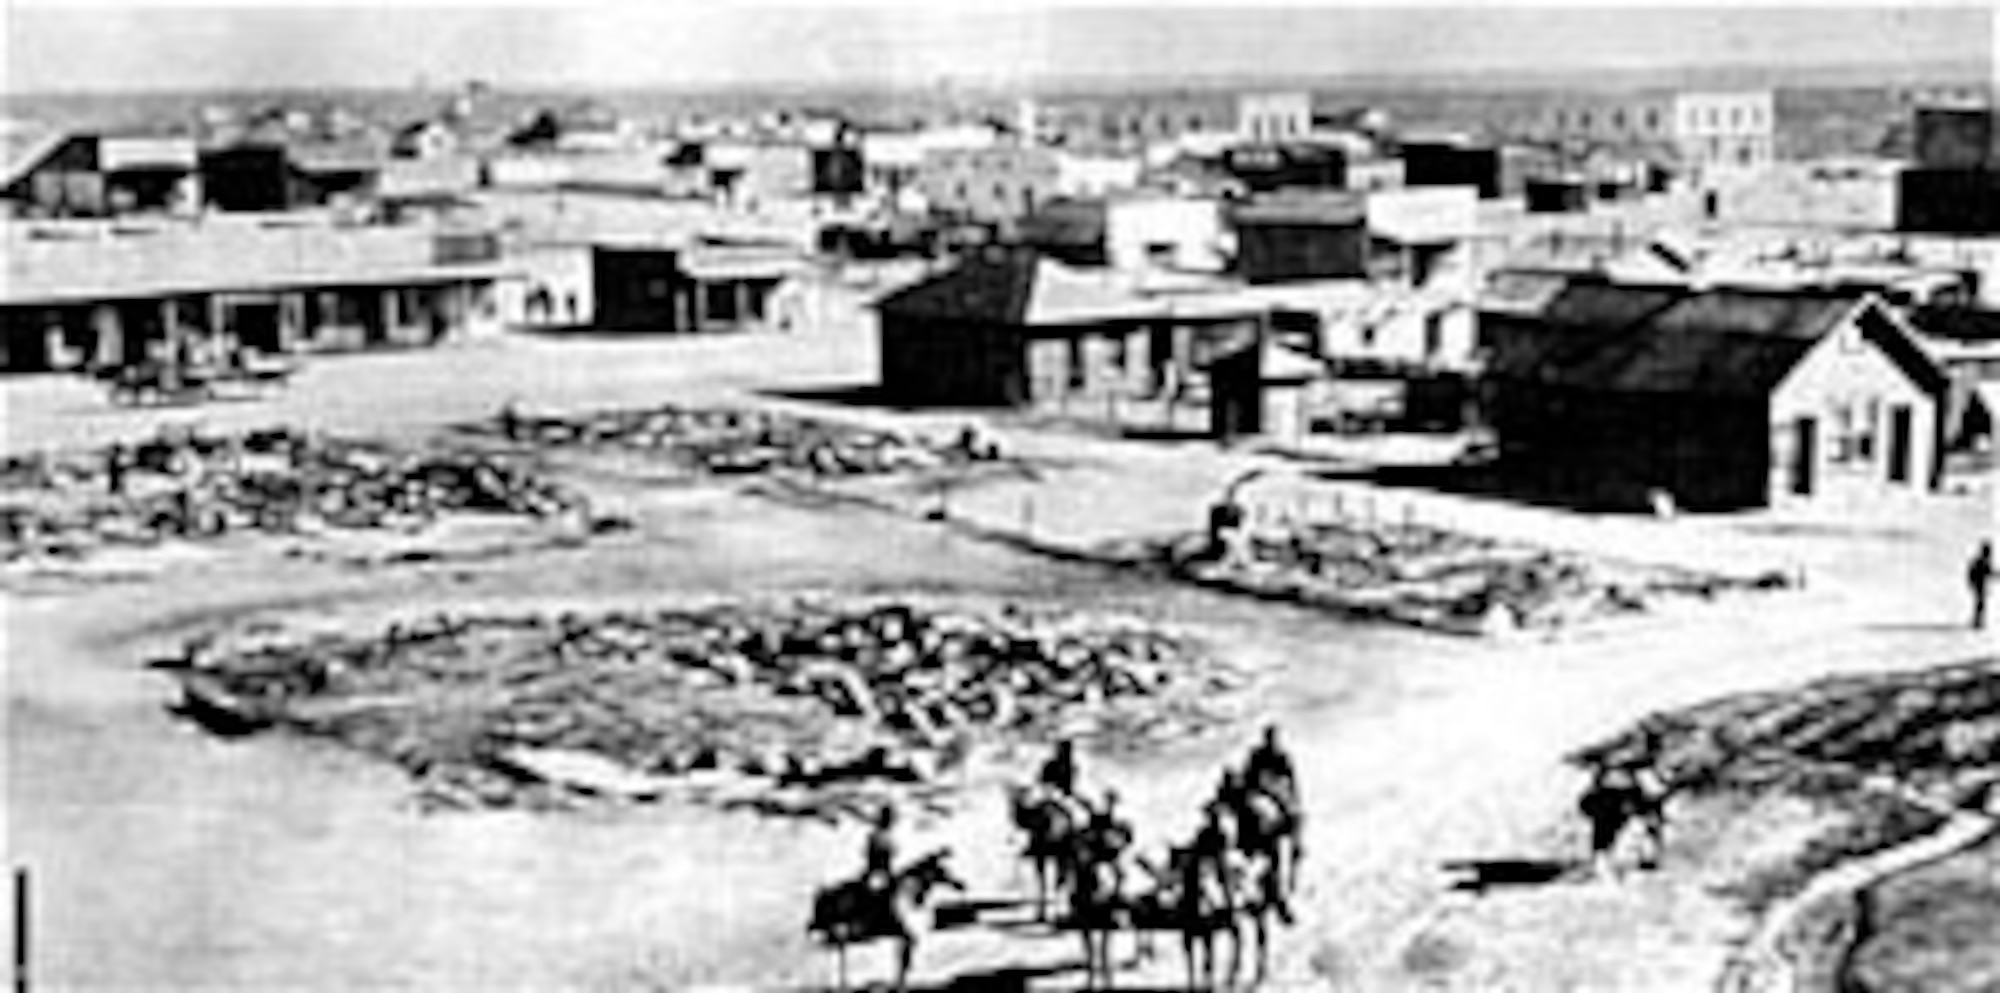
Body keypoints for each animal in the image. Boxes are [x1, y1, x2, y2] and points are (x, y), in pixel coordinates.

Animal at [812, 844, 968, 993]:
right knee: (840, 954)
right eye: (942, 871)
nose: (961, 885)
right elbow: (904, 966)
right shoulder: (908, 937)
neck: (911, 900)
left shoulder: (904, 938)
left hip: (841, 932)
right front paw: (899, 988)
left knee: (839, 953)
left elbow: (902, 965)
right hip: (840, 930)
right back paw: (844, 986)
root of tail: (823, 895)